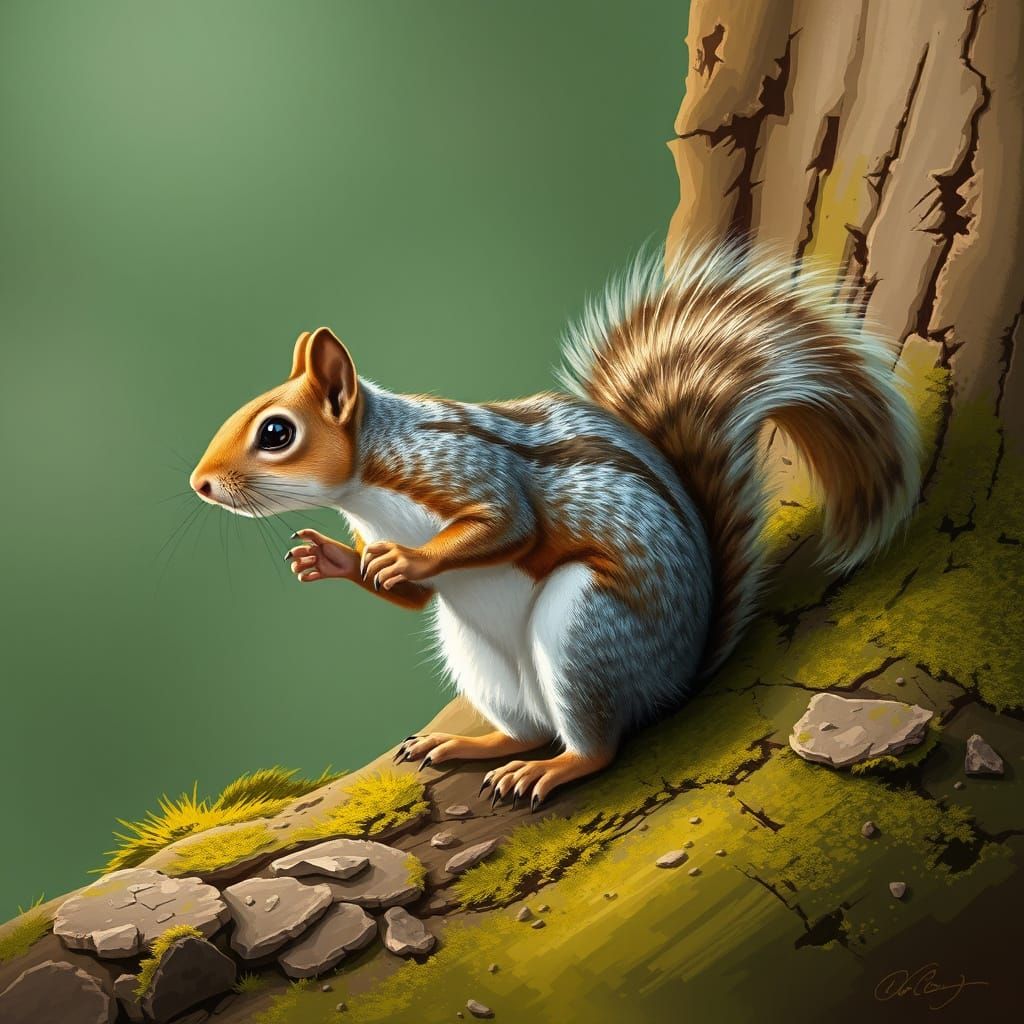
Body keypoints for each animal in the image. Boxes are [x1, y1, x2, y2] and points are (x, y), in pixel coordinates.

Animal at [190, 241, 920, 809]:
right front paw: (329, 560)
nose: (200, 483)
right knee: (527, 727)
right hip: (478, 657)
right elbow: (413, 599)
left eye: (277, 432)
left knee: (593, 745)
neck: (370, 484)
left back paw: (552, 769)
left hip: (583, 629)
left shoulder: (472, 471)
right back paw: (469, 742)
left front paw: (409, 558)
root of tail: (676, 678)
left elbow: (511, 526)